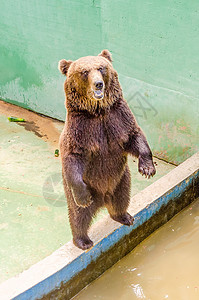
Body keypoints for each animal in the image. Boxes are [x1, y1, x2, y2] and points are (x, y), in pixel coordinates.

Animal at [58, 49, 155, 251]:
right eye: (84, 71)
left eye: (101, 68)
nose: (98, 84)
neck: (98, 112)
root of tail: (103, 200)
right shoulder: (80, 130)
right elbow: (73, 157)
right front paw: (83, 198)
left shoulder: (117, 119)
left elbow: (135, 136)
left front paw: (147, 168)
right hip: (83, 188)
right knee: (78, 215)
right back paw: (83, 240)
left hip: (121, 180)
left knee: (121, 199)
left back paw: (124, 216)